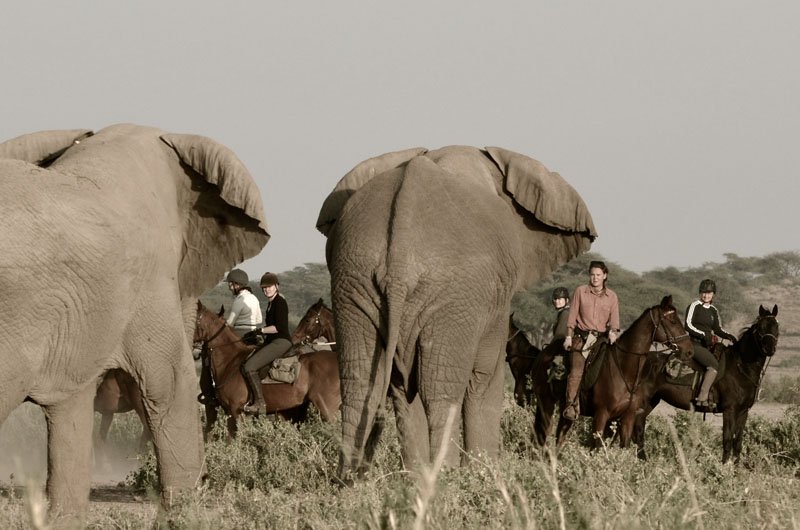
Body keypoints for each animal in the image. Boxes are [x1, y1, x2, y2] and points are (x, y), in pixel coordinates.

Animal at [197, 300, 340, 436]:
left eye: (308, 320)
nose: (295, 338)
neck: (230, 360)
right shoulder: (229, 411)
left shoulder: (236, 410)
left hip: (326, 408)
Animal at [316, 145, 596, 478]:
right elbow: (483, 376)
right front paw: (484, 473)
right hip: (451, 295)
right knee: (439, 390)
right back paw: (442, 476)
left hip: (355, 278)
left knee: (369, 385)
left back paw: (373, 480)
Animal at [532, 292, 692, 450]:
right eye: (672, 320)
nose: (689, 351)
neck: (624, 370)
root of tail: (543, 354)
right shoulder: (601, 415)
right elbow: (597, 448)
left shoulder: (627, 418)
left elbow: (623, 447)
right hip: (546, 404)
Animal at [636, 304, 780, 460]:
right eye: (761, 327)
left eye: (776, 327)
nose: (770, 349)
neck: (740, 367)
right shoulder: (730, 410)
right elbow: (727, 441)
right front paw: (724, 465)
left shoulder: (743, 412)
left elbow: (737, 443)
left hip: (651, 401)